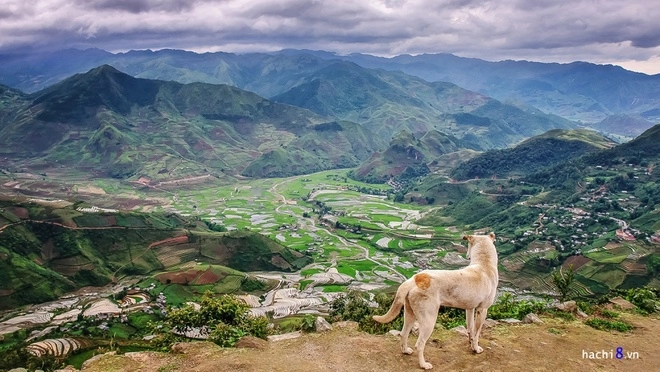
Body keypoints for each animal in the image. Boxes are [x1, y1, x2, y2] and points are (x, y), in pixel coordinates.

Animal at [374, 234, 498, 368]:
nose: (467, 256)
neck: (484, 264)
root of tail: (415, 279)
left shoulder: (470, 309)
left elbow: (470, 328)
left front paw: (471, 344)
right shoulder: (482, 310)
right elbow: (477, 332)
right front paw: (476, 348)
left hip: (410, 313)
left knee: (404, 333)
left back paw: (405, 350)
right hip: (429, 320)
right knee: (419, 344)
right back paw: (424, 365)